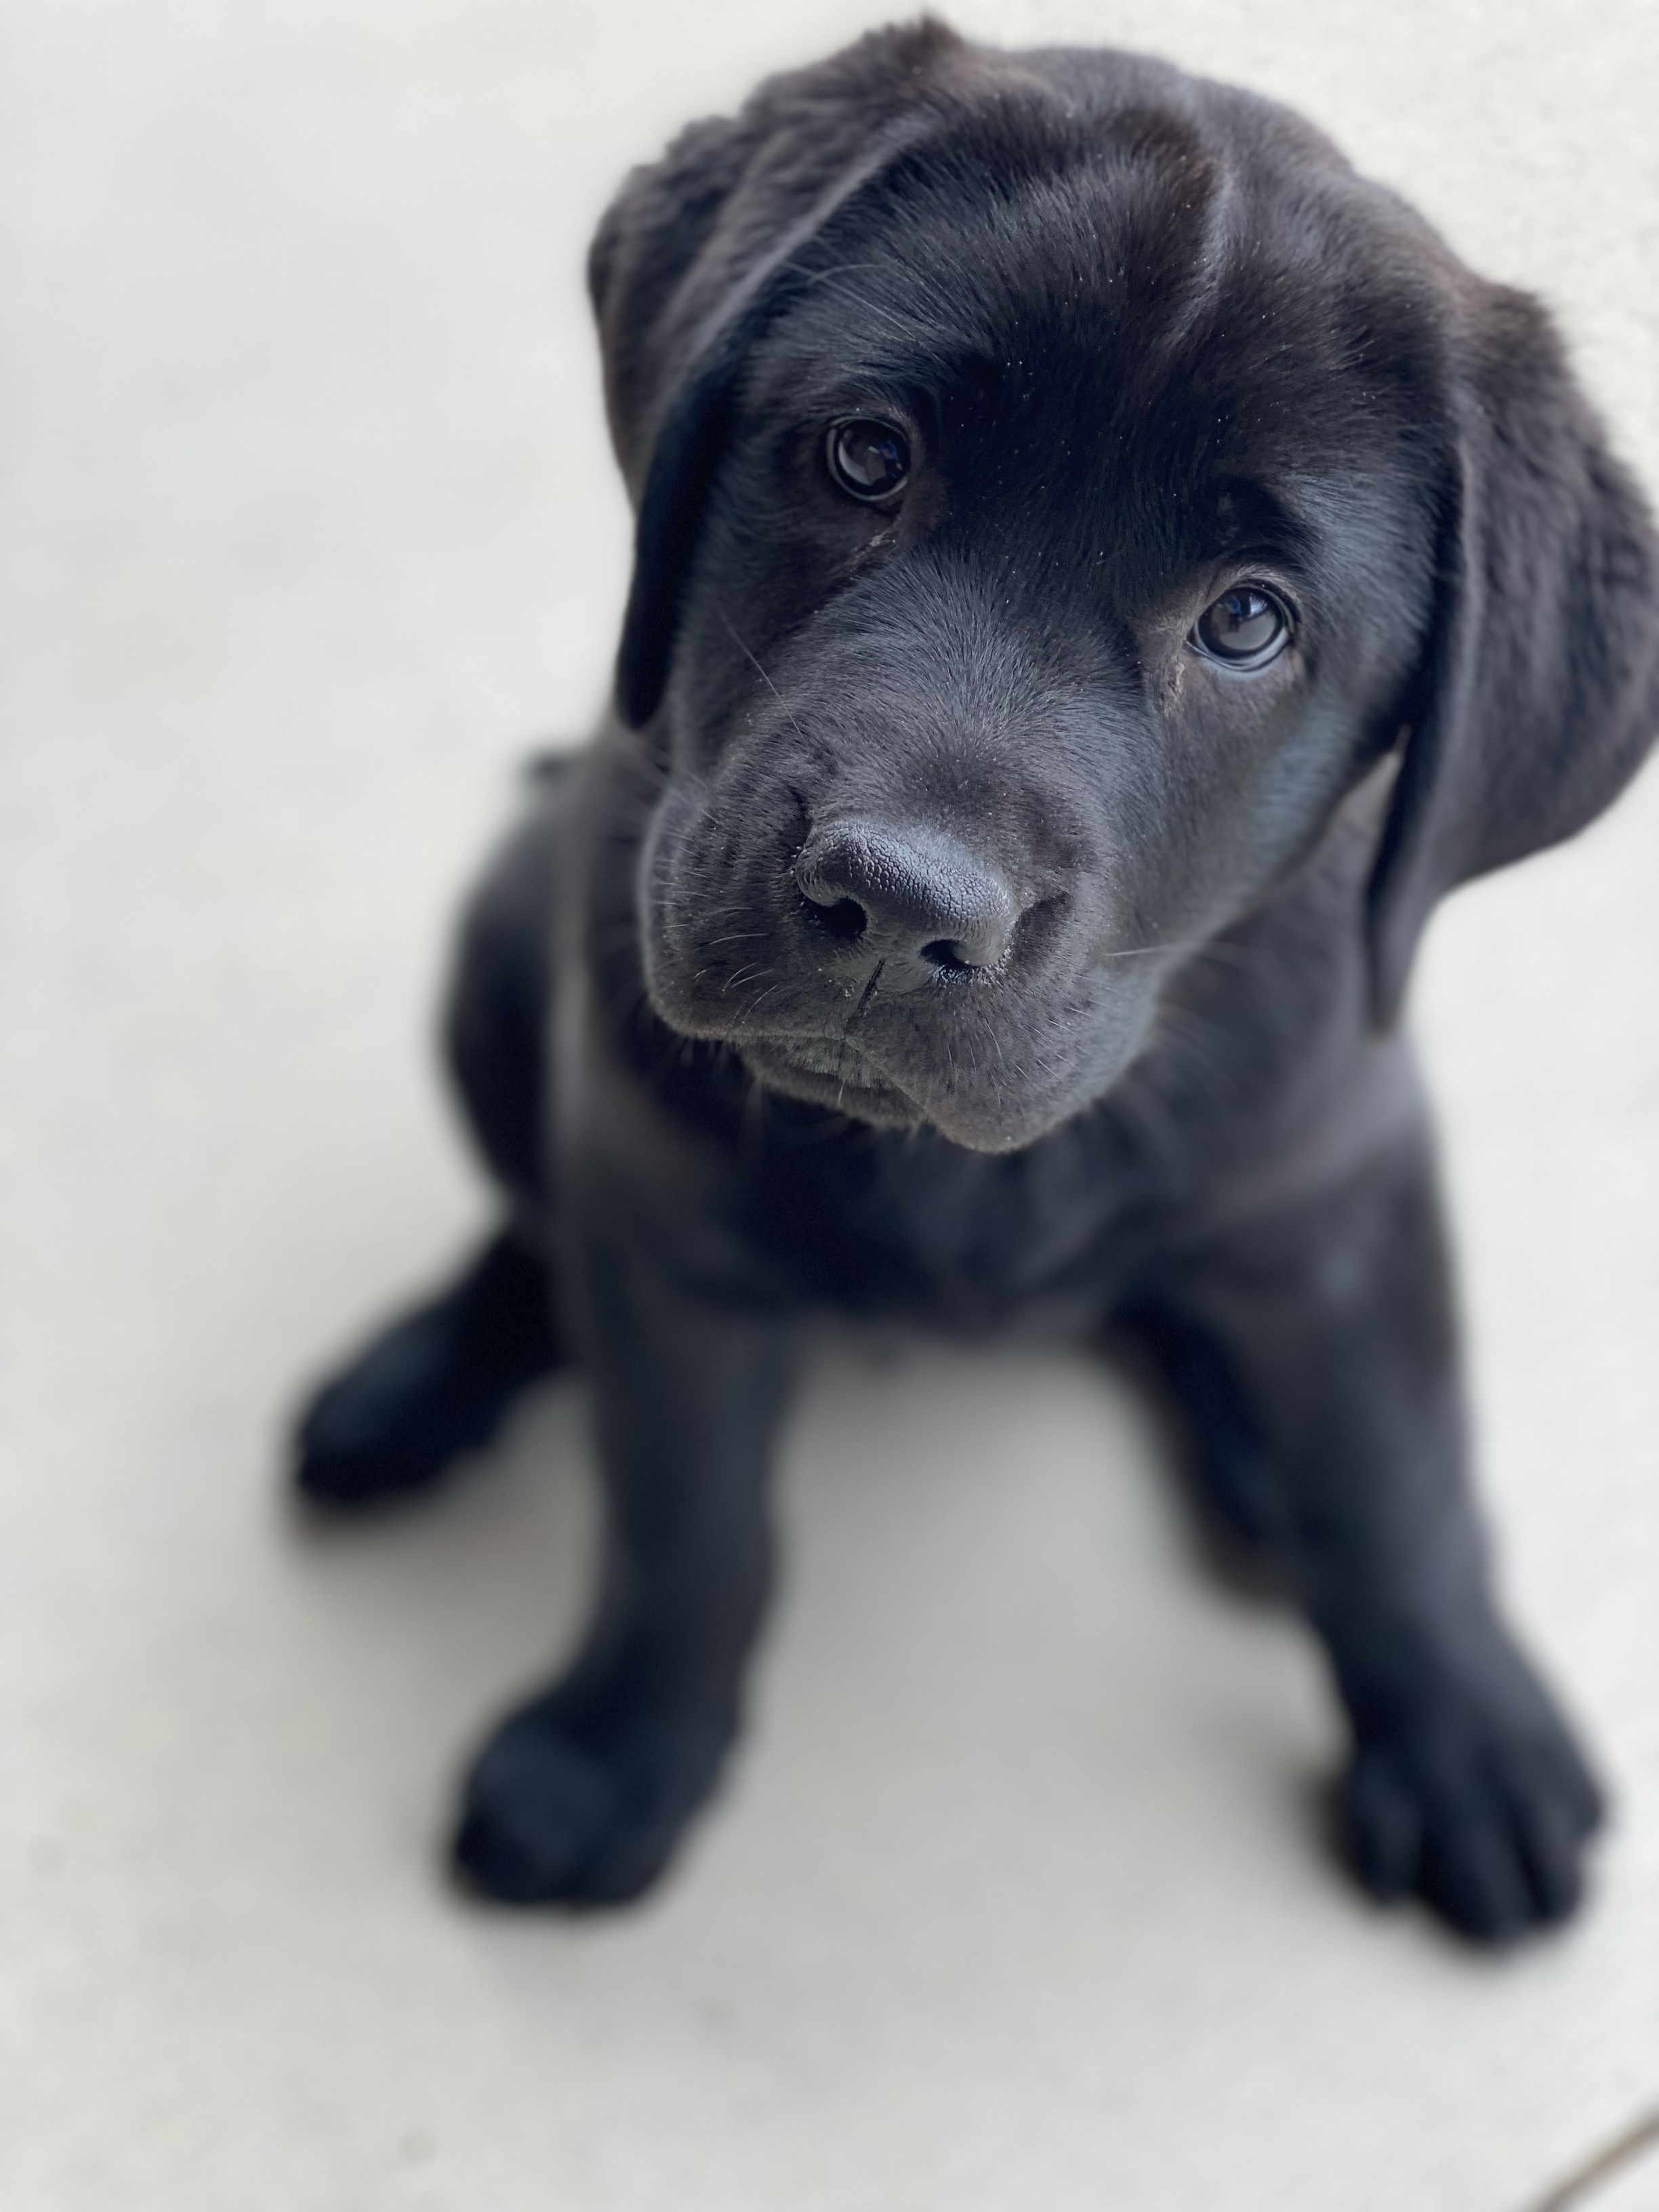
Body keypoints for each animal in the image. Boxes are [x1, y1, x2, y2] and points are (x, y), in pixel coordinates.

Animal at [298, 30, 1659, 1938]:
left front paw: (1465, 1734)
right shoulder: (658, 1202)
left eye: (1248, 620)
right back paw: (414, 1377)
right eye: (867, 456)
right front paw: (615, 1754)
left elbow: (1398, 1475)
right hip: (513, 950)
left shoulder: (1346, 1170)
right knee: (534, 1225)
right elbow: (684, 1517)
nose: (892, 906)